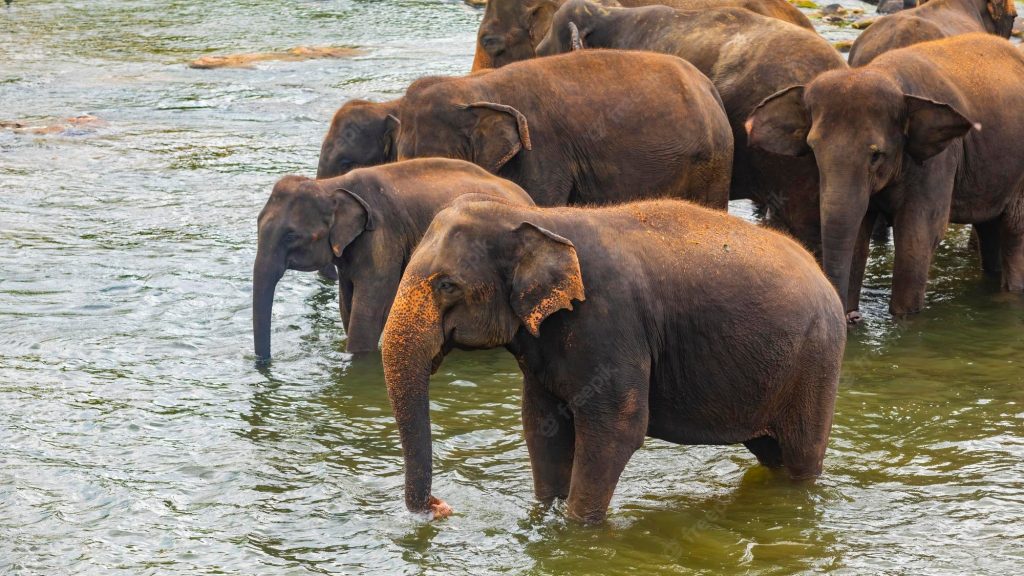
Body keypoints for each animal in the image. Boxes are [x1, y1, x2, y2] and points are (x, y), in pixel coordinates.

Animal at [252, 158, 534, 361]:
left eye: (290, 236)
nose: (265, 363)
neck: (331, 185)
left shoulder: (381, 237)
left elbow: (368, 309)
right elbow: (347, 303)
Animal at [380, 197, 846, 523]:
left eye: (447, 285)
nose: (440, 507)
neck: (535, 217)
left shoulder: (611, 323)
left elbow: (616, 429)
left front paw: (579, 532)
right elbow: (542, 425)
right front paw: (546, 516)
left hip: (817, 360)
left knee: (801, 455)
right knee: (772, 452)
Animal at [747, 34, 1024, 321]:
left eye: (876, 155)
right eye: (813, 149)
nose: (853, 318)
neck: (890, 77)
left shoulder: (939, 162)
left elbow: (918, 236)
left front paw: (904, 320)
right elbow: (858, 232)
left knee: (1013, 231)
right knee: (989, 227)